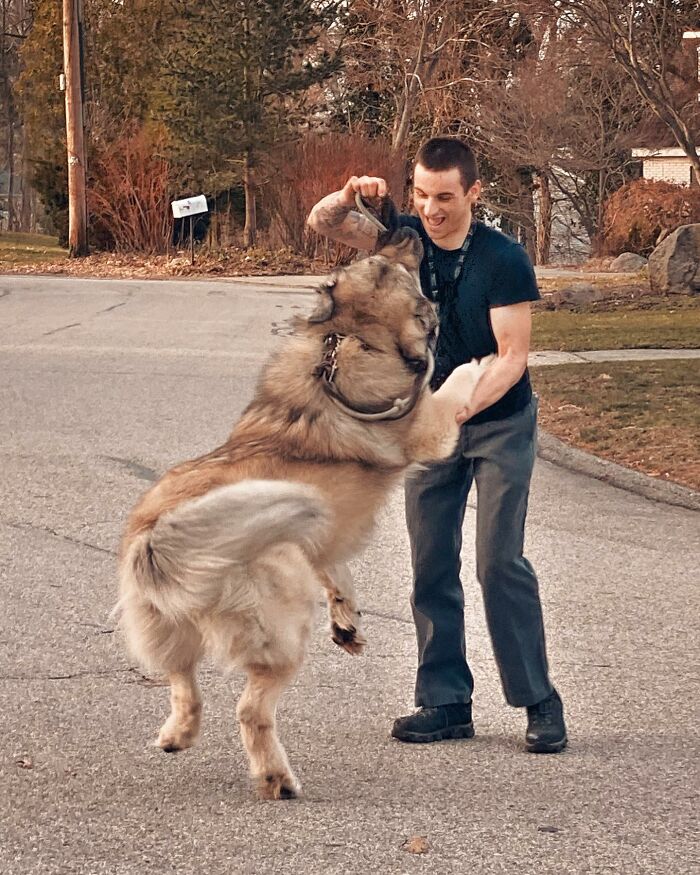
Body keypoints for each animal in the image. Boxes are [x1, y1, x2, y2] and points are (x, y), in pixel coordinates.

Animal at [117, 226, 492, 800]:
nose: (405, 228)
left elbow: (338, 573)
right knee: (249, 709)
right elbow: (448, 390)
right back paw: (277, 779)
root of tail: (159, 540)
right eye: (385, 264)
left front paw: (348, 621)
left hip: (171, 629)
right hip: (284, 625)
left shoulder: (325, 538)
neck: (351, 337)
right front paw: (478, 367)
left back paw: (179, 734)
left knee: (183, 683)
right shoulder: (426, 425)